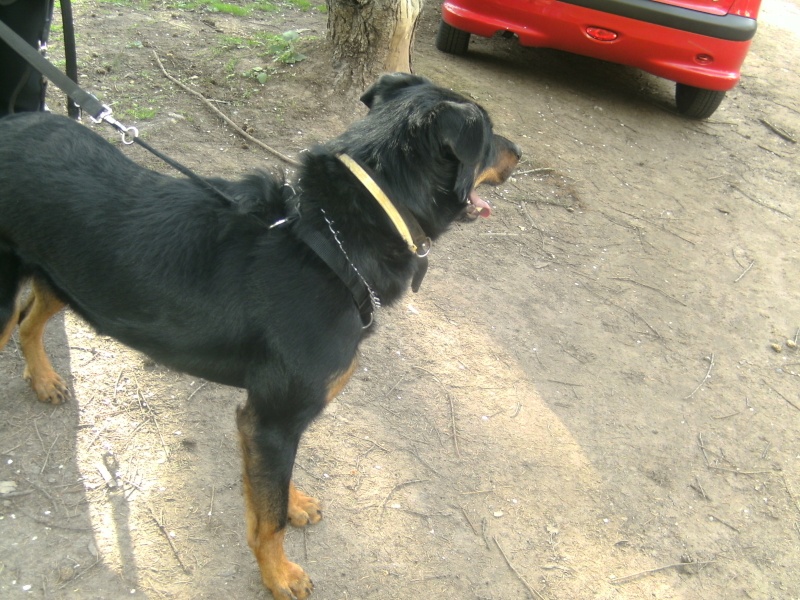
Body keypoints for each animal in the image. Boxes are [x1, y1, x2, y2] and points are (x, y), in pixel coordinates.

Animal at [0, 72, 520, 596]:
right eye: (490, 134)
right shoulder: (271, 420)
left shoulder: (272, 426)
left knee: (30, 320)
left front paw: (294, 502)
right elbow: (267, 521)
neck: (334, 240)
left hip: (66, 278)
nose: (519, 153)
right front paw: (279, 575)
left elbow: (273, 489)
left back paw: (43, 379)